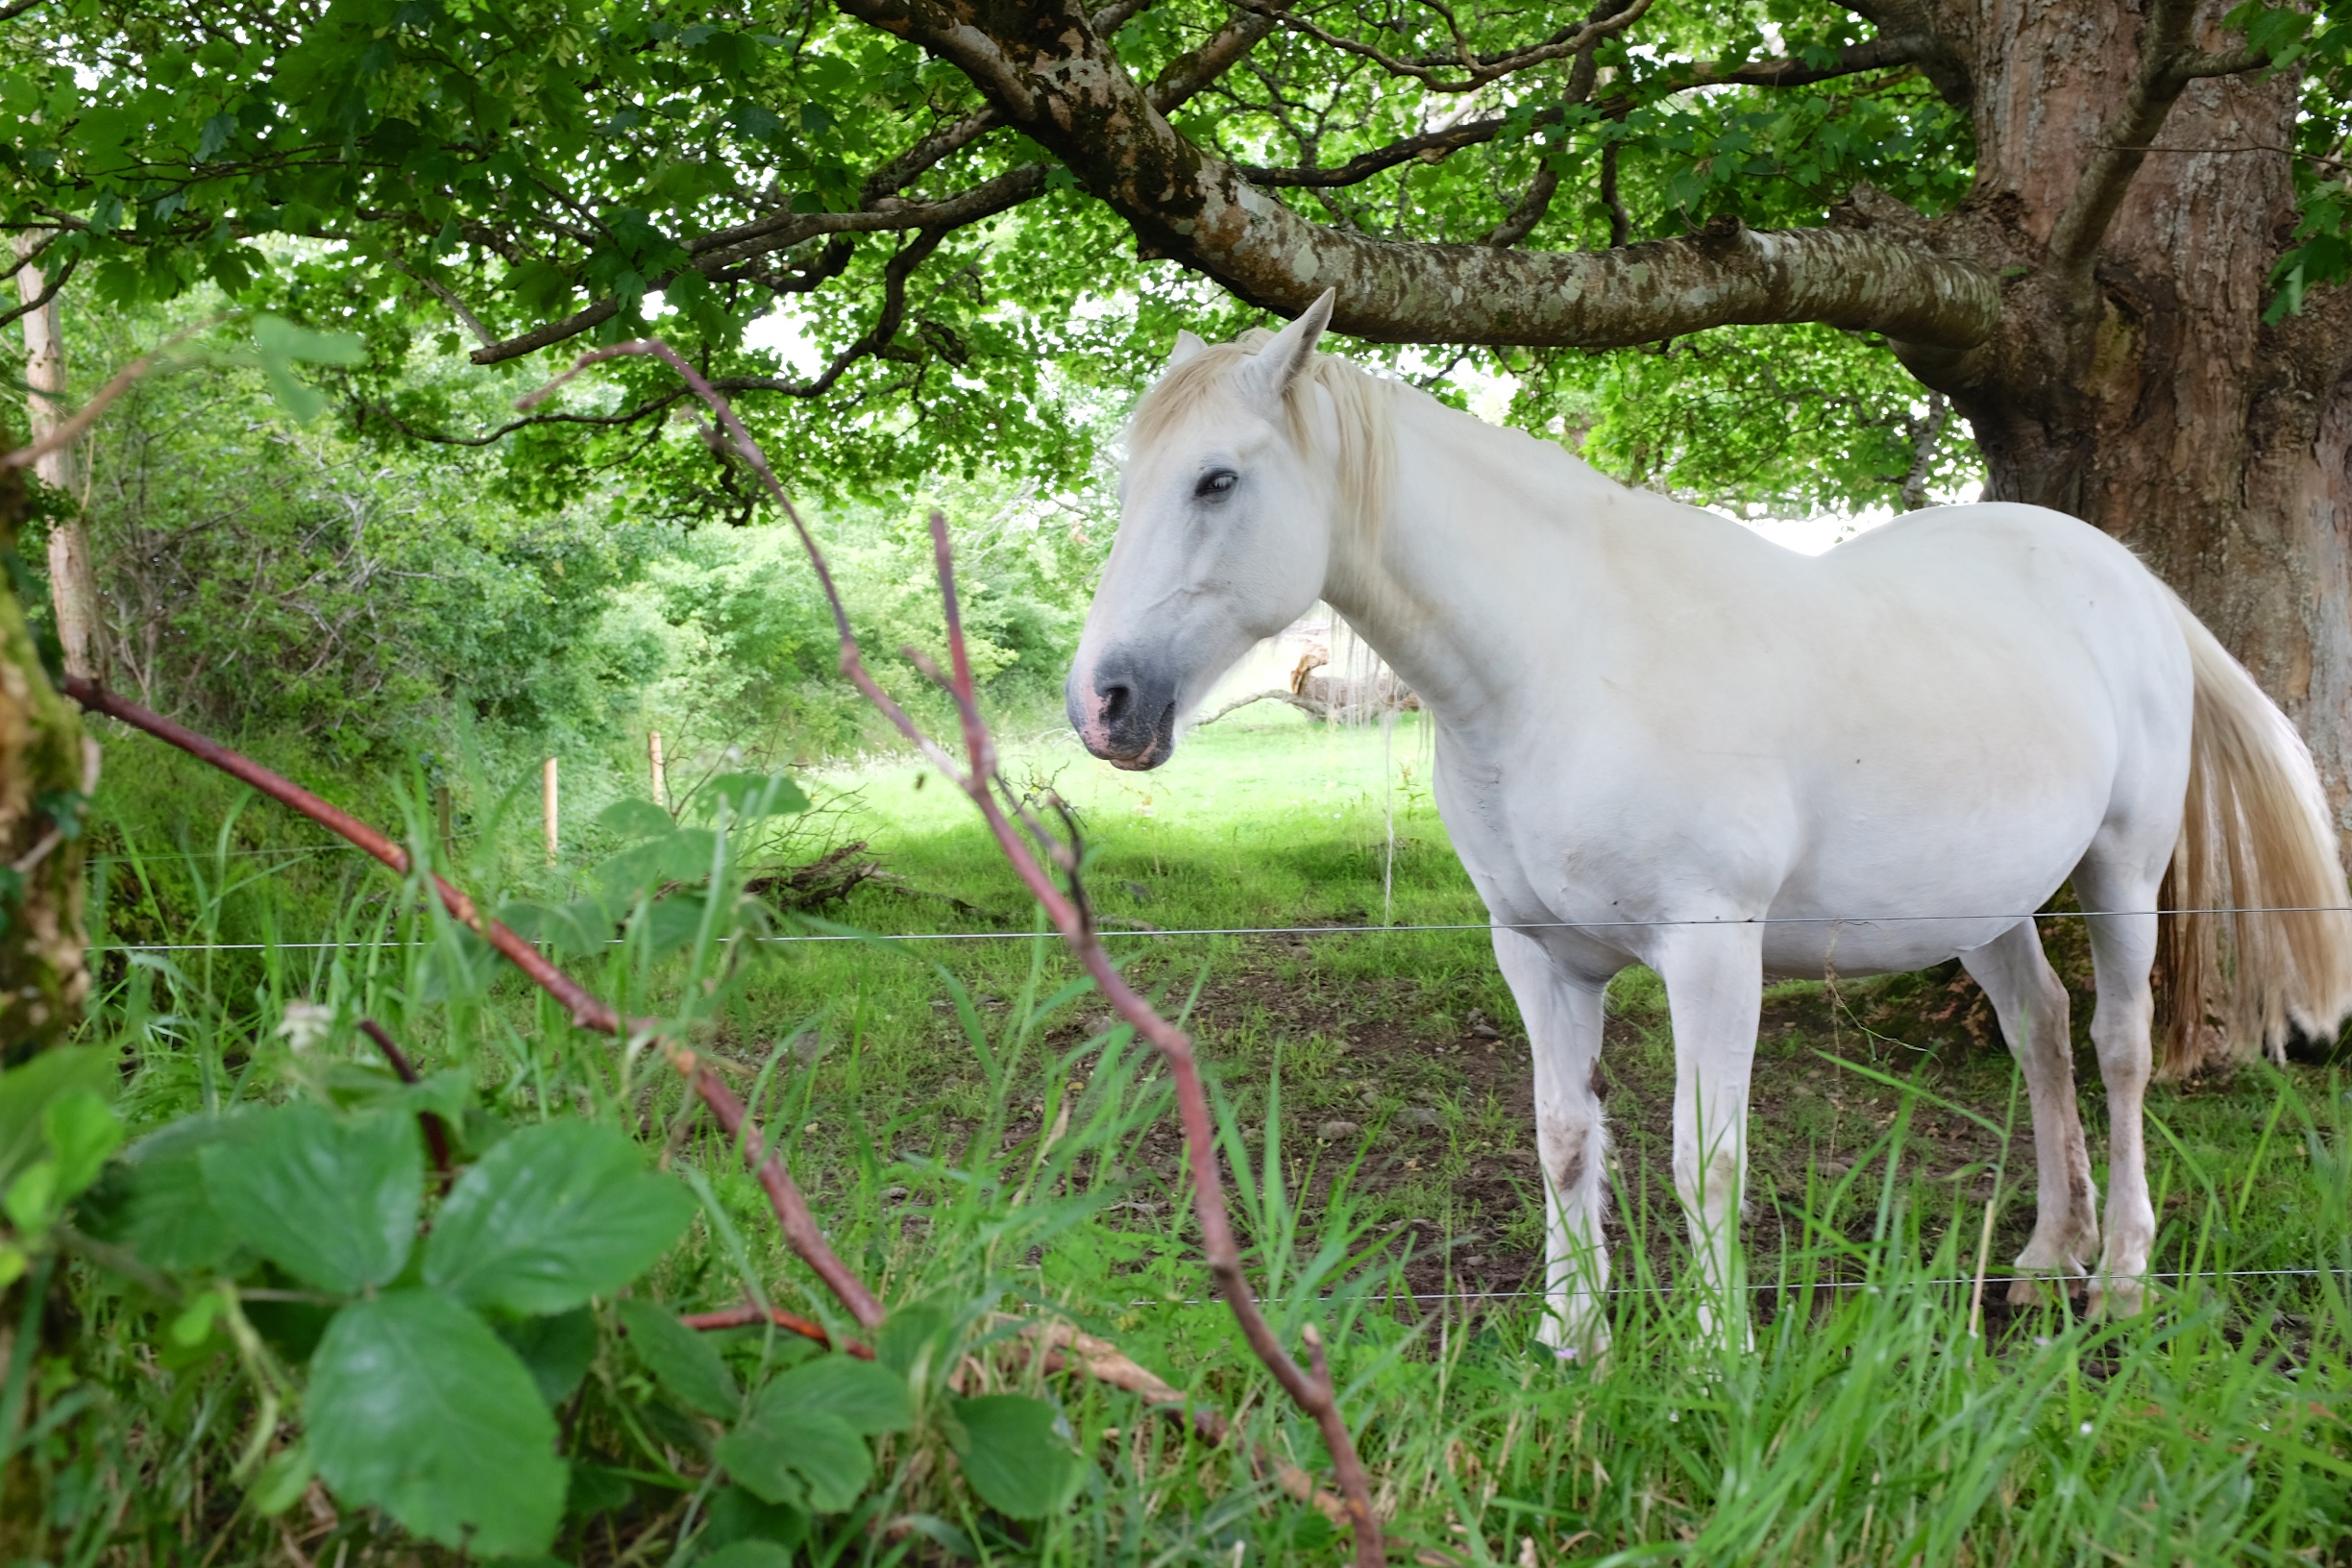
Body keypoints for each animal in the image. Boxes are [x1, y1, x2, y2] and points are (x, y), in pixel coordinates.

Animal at [1067, 293, 2352, 1363]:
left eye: (1217, 481)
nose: (1103, 704)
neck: (1561, 667)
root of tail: (2127, 578)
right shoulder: (1537, 957)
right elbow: (1563, 1138)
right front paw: (1571, 1344)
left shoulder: (1711, 953)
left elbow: (1707, 1160)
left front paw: (1714, 1357)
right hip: (1982, 902)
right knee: (2039, 1032)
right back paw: (2044, 1260)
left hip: (2124, 869)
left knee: (2118, 1048)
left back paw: (2122, 1278)